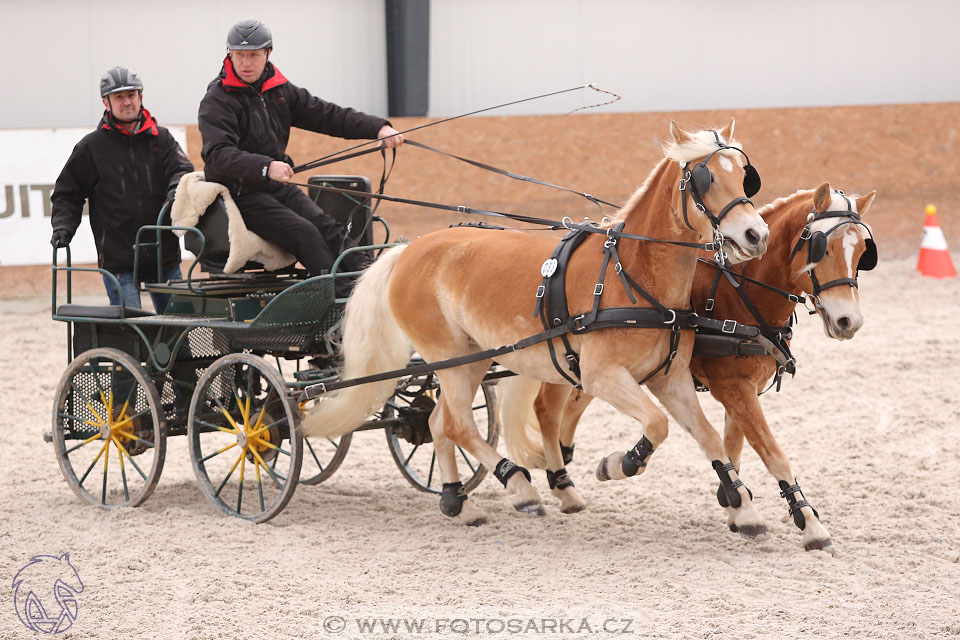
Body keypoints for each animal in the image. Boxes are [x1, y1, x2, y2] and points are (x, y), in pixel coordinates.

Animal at [304, 119, 768, 528]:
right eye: (706, 178)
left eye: (746, 176)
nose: (755, 235)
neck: (633, 275)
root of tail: (408, 249)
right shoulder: (602, 377)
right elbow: (656, 424)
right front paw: (619, 464)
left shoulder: (669, 380)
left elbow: (708, 437)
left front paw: (744, 509)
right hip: (447, 356)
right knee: (458, 424)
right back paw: (519, 487)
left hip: (473, 357)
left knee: (439, 423)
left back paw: (459, 502)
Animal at [502, 180, 876, 552]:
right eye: (822, 248)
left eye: (862, 252)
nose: (849, 321)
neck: (738, 292)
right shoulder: (733, 387)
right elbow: (772, 453)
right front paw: (810, 525)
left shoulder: (743, 390)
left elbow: (732, 445)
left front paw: (735, 505)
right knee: (547, 411)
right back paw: (553, 484)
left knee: (573, 406)